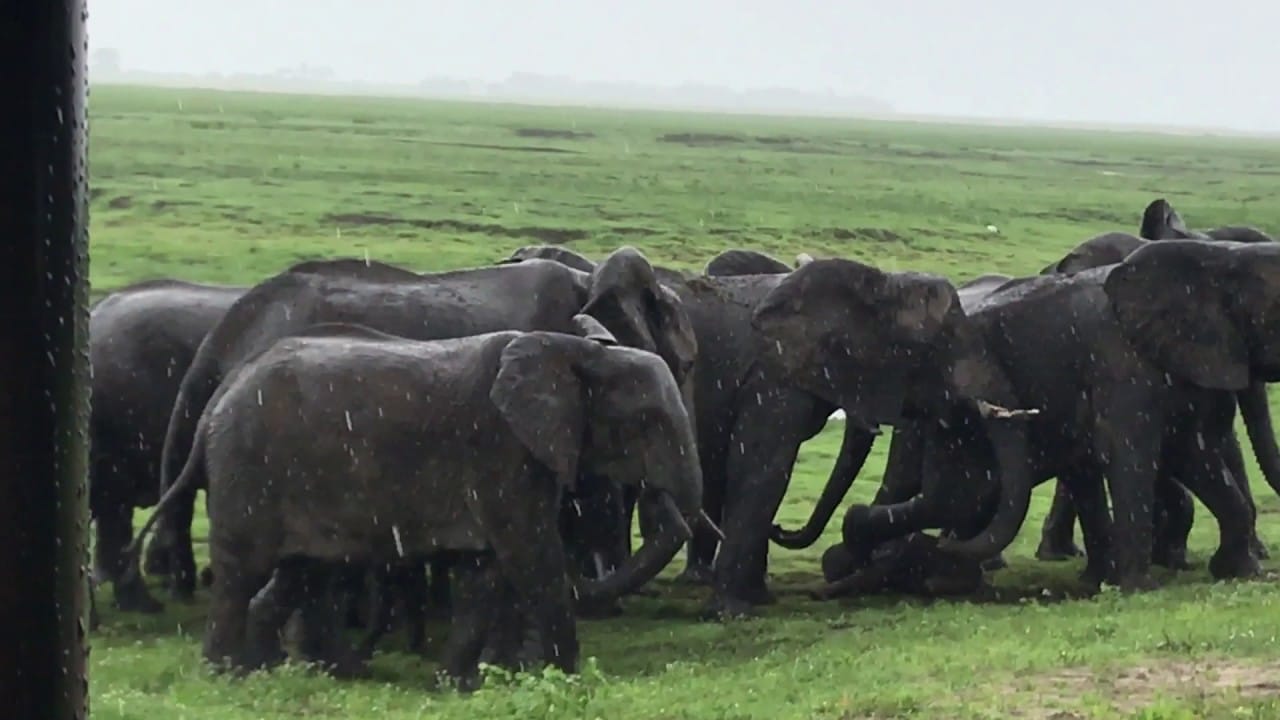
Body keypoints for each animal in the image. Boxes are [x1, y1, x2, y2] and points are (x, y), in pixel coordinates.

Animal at [129, 313, 711, 681]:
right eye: (648, 422)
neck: (573, 351)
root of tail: (217, 398)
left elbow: (485, 573)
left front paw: (458, 684)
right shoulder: (503, 449)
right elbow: (531, 555)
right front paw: (569, 678)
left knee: (301, 571)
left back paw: (300, 673)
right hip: (248, 469)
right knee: (243, 570)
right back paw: (229, 677)